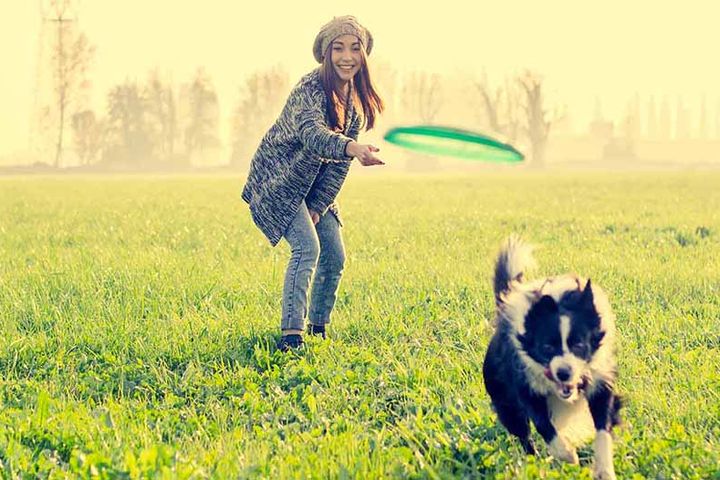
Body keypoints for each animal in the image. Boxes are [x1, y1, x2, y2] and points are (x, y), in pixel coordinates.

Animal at [486, 237, 620, 480]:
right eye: (547, 347)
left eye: (579, 345)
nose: (564, 373)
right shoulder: (525, 386)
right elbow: (543, 425)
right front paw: (567, 454)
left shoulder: (600, 381)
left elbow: (603, 427)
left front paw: (604, 469)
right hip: (504, 401)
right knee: (523, 434)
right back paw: (534, 462)